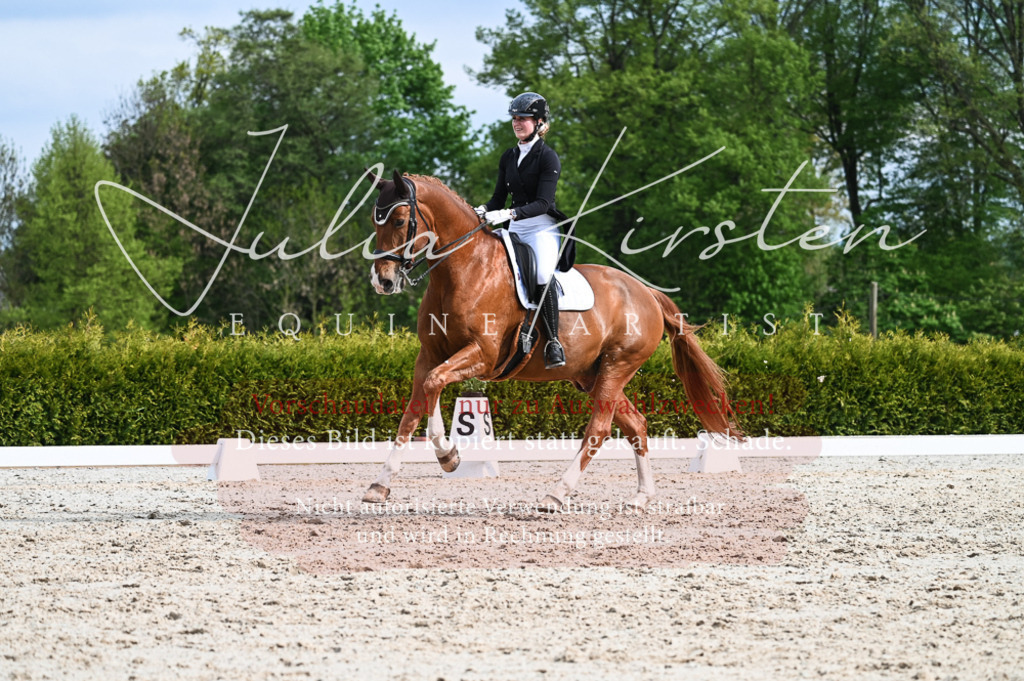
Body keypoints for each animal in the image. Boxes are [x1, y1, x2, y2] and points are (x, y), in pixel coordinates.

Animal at [363, 169, 741, 510]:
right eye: (374, 221)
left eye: (399, 220)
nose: (382, 281)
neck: (464, 268)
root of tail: (646, 292)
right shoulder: (428, 355)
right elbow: (413, 410)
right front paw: (380, 485)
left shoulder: (482, 354)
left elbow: (433, 384)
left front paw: (449, 456)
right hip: (592, 375)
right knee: (636, 424)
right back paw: (640, 497)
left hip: (618, 365)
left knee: (599, 429)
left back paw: (556, 494)